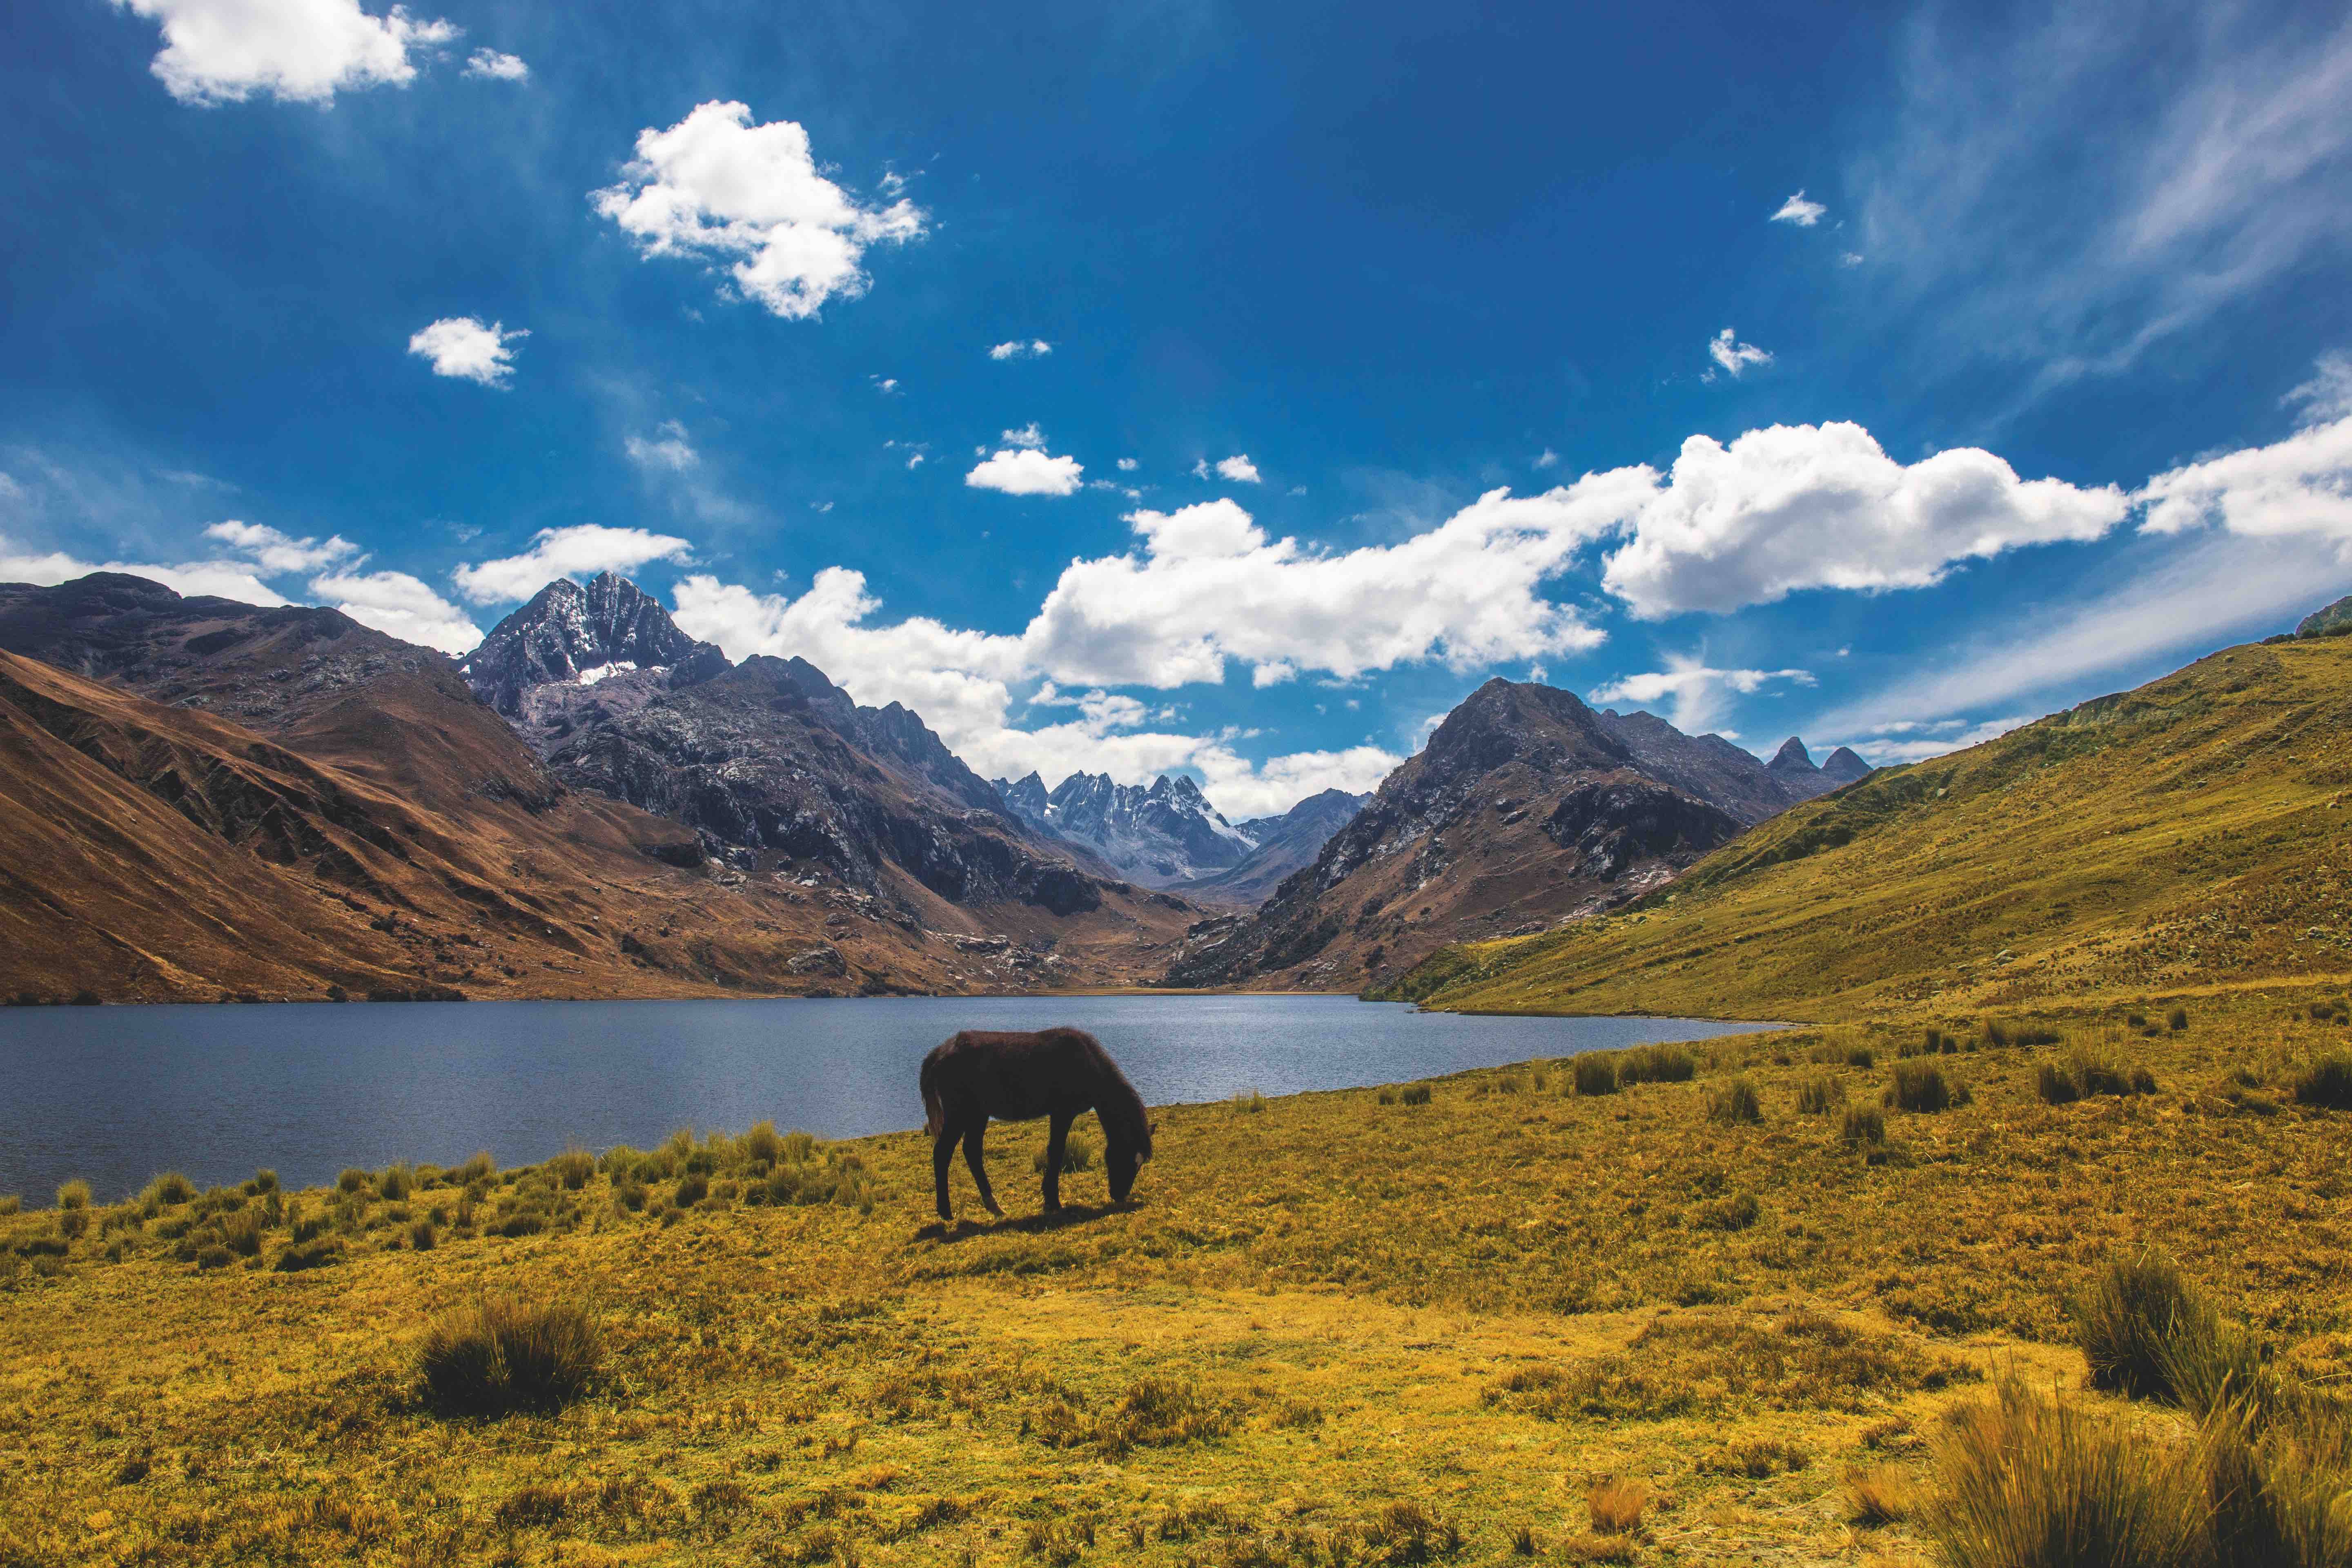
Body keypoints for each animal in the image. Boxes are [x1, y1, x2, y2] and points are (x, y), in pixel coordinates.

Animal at [917, 1029, 1157, 1222]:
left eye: (1140, 1164)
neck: (1086, 1064)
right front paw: (1053, 1202)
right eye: (1126, 1157)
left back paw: (995, 1207)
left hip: (978, 1114)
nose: (1120, 1196)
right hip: (960, 1114)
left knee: (972, 1152)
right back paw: (946, 1212)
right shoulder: (1063, 1113)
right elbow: (1057, 1151)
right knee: (943, 1153)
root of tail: (940, 1052)